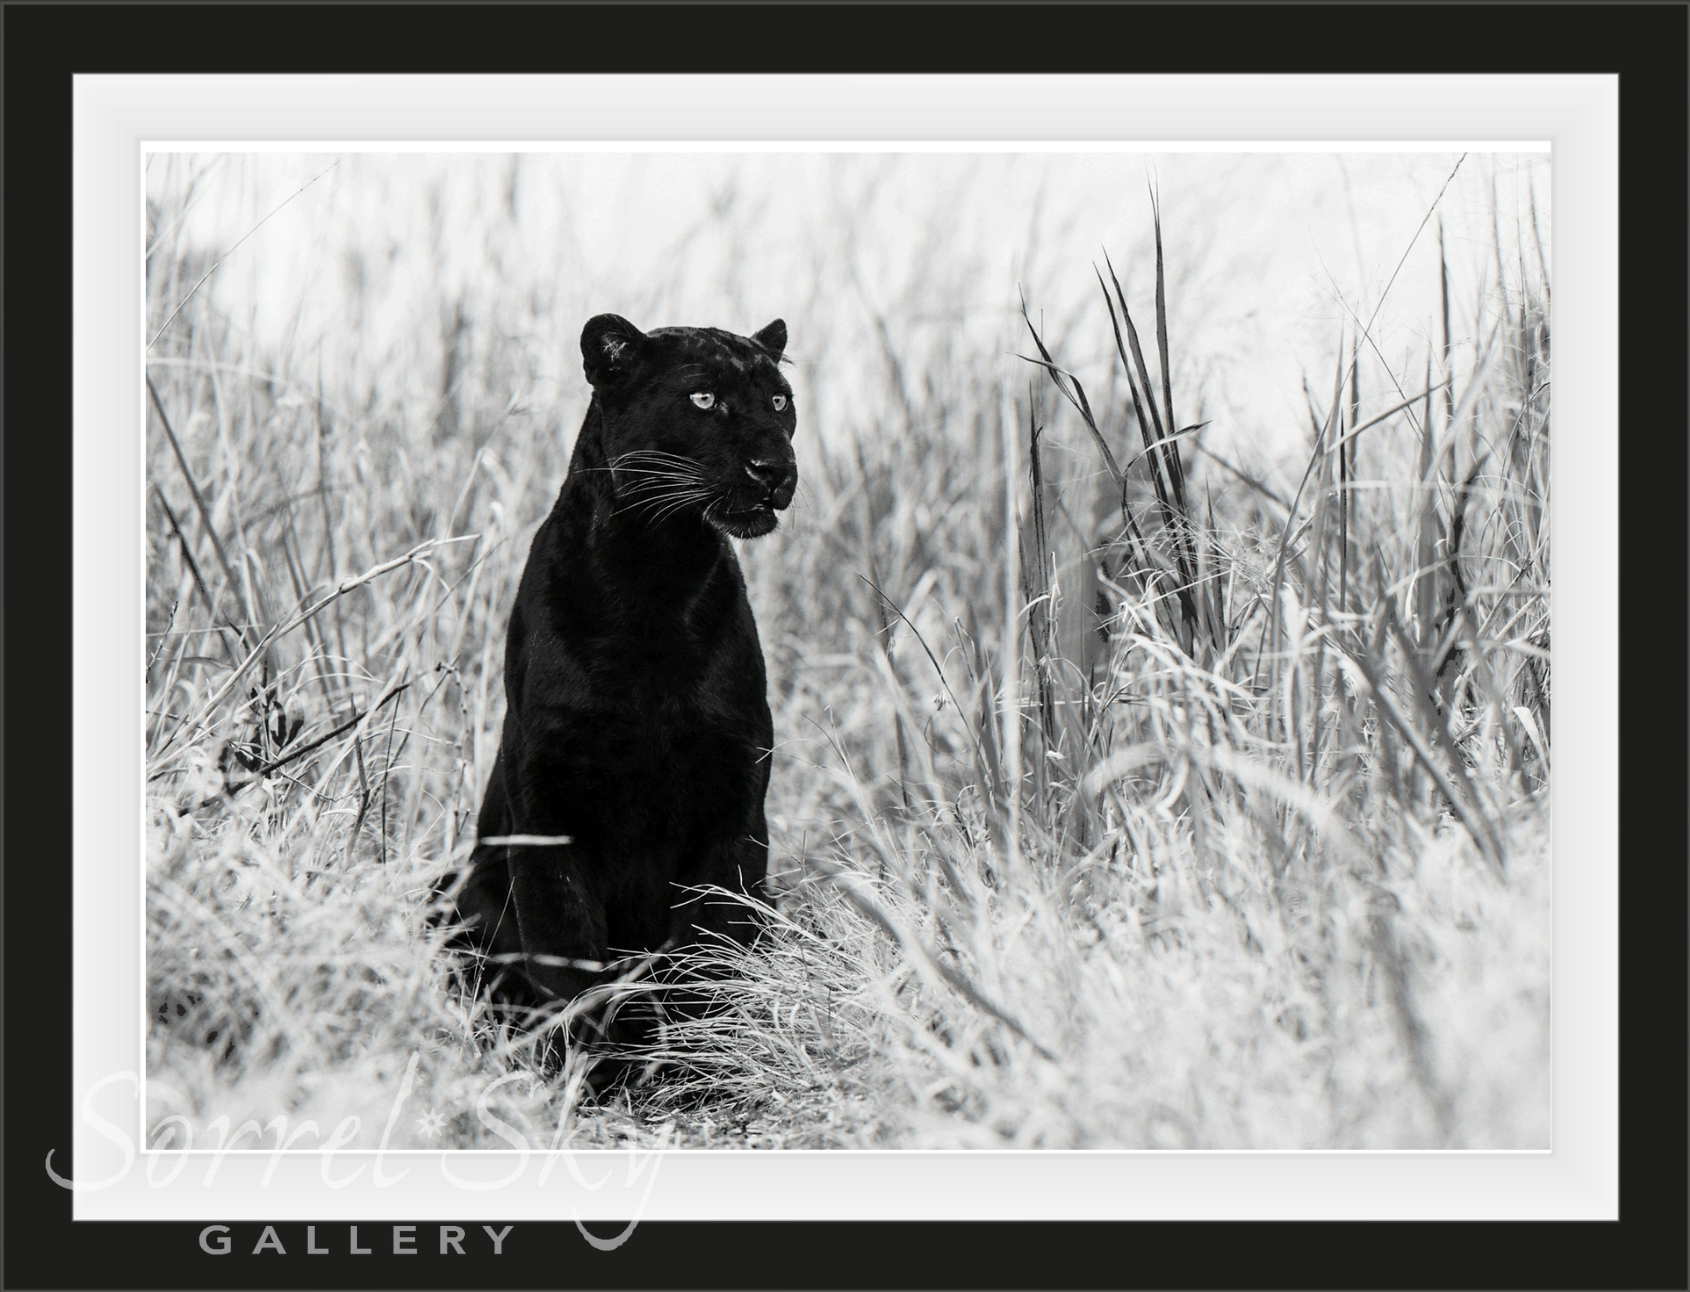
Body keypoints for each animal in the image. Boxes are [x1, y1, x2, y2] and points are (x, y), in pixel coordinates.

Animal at [442, 311, 797, 1062]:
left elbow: (709, 954)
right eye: (703, 399)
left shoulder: (734, 800)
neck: (654, 579)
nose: (775, 469)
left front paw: (702, 1066)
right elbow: (569, 958)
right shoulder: (549, 808)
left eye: (780, 401)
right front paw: (592, 1069)